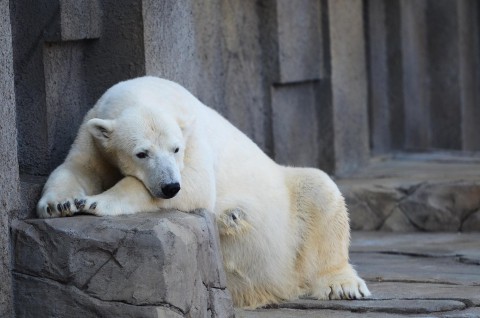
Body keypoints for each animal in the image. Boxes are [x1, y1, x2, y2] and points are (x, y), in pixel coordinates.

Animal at [37, 76, 372, 308]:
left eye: (175, 149)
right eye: (141, 153)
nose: (170, 187)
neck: (145, 91)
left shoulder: (192, 134)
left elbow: (197, 184)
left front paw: (93, 202)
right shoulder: (94, 130)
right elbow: (77, 166)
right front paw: (58, 204)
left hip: (290, 211)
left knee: (320, 189)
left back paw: (343, 285)